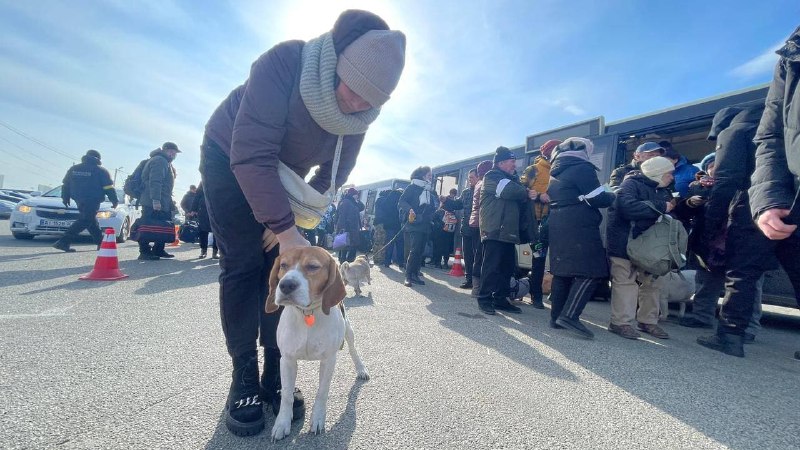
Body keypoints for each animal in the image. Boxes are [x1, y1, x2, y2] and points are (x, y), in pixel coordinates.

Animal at [268, 244, 370, 442]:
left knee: (354, 351)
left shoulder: (329, 360)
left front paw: (317, 420)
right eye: (283, 265)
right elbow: (286, 395)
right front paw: (282, 423)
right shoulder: (287, 360)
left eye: (313, 267)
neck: (308, 314)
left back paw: (361, 368)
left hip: (349, 332)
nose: (286, 285)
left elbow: (322, 392)